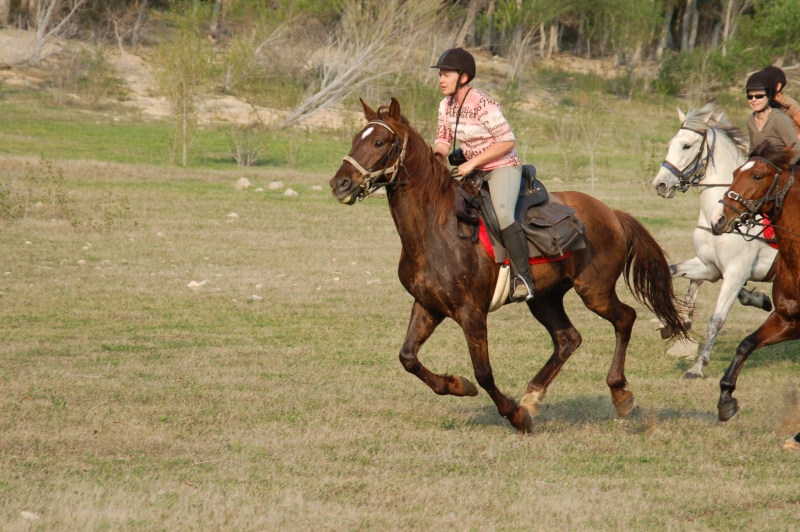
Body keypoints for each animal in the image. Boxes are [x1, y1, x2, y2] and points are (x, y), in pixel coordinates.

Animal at [332, 98, 688, 432]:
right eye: (355, 139)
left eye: (379, 142)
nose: (340, 184)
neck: (436, 227)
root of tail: (612, 213)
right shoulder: (428, 305)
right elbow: (408, 357)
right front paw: (458, 386)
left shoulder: (471, 313)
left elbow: (484, 373)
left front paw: (514, 415)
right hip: (544, 298)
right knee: (568, 339)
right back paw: (533, 397)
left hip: (594, 292)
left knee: (624, 319)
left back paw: (619, 394)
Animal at [652, 103, 780, 378]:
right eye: (672, 142)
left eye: (687, 146)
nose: (660, 184)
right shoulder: (708, 266)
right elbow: (673, 273)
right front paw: (675, 322)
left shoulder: (735, 273)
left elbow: (716, 320)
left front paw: (698, 366)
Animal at [708, 142, 796, 424]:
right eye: (735, 172)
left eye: (757, 176)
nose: (718, 218)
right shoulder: (788, 319)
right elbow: (746, 344)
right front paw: (726, 398)